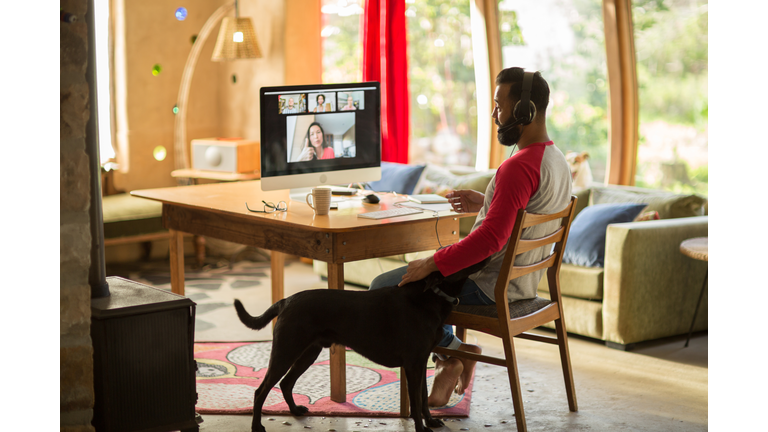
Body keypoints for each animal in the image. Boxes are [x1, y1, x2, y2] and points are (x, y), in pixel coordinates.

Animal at [232, 258, 492, 430]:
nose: (487, 251)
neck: (431, 295)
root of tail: (286, 301)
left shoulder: (420, 361)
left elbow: (423, 400)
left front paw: (430, 421)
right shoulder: (413, 365)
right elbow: (417, 403)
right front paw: (421, 428)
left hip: (308, 352)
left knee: (286, 383)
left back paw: (295, 411)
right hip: (286, 352)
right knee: (261, 390)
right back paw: (257, 426)